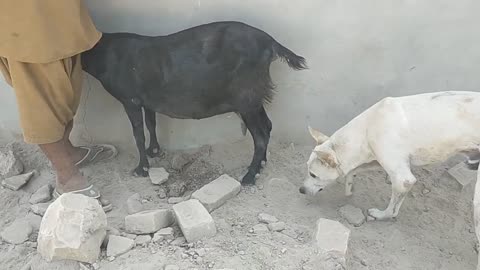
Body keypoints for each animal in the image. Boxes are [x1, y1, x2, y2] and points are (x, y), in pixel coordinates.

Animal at [82, 21, 308, 186]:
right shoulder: (147, 99)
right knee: (267, 126)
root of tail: (270, 43)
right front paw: (154, 150)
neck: (105, 54)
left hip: (246, 97)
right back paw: (261, 164)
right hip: (253, 97)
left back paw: (249, 177)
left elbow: (138, 134)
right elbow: (151, 123)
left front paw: (141, 169)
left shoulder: (131, 99)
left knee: (260, 135)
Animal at [302, 92, 480, 220]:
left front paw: (383, 215)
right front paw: (349, 186)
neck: (367, 128)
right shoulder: (376, 159)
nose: (300, 190)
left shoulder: (403, 179)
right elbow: (354, 170)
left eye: (313, 174)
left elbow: (393, 204)